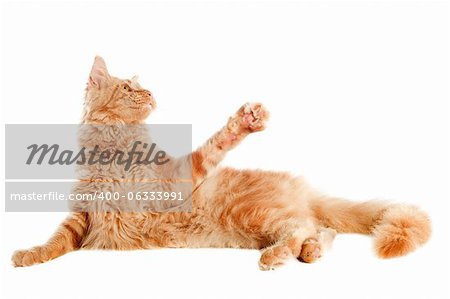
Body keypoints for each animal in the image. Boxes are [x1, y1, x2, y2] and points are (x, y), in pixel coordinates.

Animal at [12, 55, 430, 270]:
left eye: (142, 88)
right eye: (130, 89)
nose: (150, 93)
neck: (117, 150)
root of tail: (300, 186)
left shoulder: (175, 183)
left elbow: (213, 147)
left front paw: (243, 123)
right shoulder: (83, 213)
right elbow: (55, 240)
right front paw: (29, 255)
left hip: (256, 214)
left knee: (303, 227)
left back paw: (278, 256)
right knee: (319, 229)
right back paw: (308, 253)